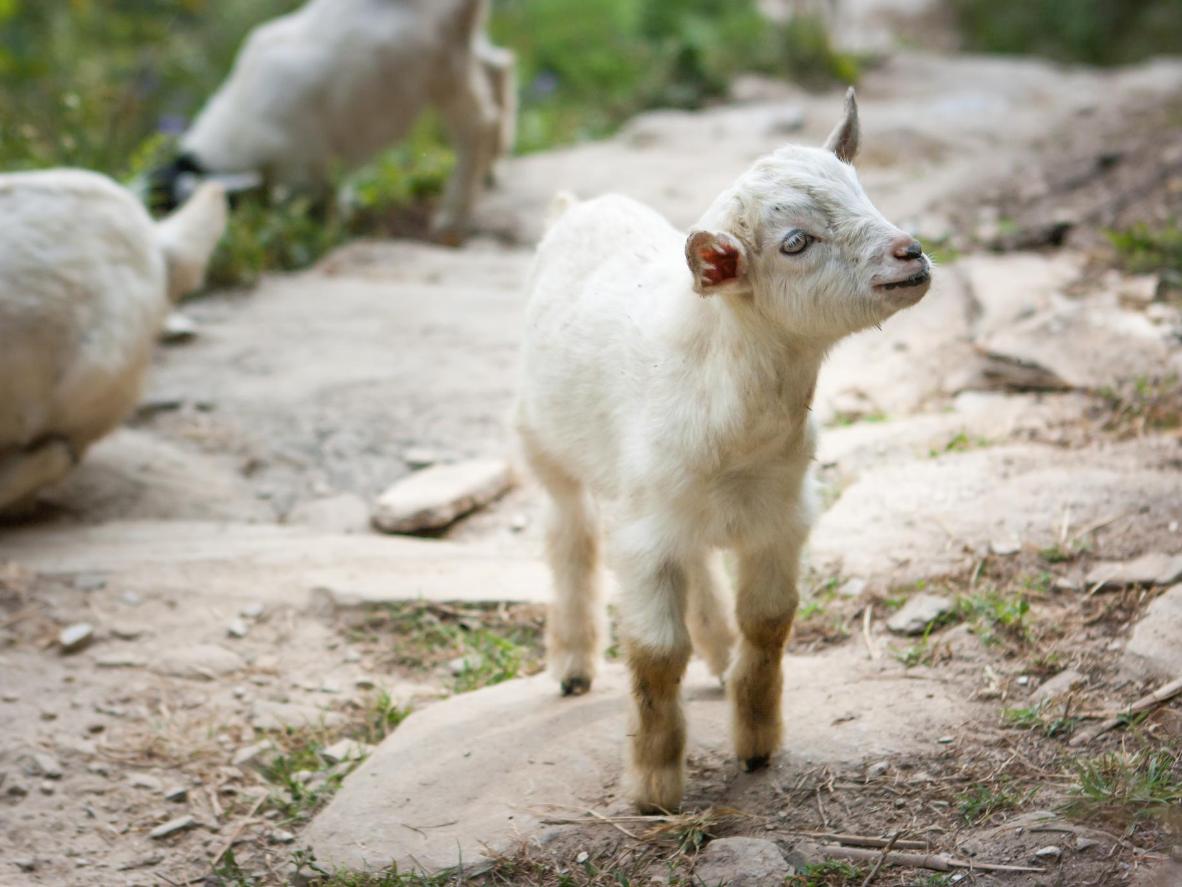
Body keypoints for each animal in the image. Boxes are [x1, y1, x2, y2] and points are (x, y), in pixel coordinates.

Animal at [152, 0, 512, 241]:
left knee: (478, 123)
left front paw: (331, 232)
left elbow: (325, 205)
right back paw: (492, 168)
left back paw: (452, 216)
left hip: (440, 57)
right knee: (499, 66)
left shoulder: (303, 168)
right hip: (462, 39)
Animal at [517, 90, 931, 813]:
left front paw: (758, 742)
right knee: (569, 533)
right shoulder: (643, 535)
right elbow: (656, 655)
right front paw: (655, 786)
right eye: (795, 243)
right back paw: (571, 663)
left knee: (700, 560)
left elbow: (768, 624)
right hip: (544, 444)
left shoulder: (780, 515)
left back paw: (715, 648)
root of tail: (576, 207)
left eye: (862, 191)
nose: (911, 254)